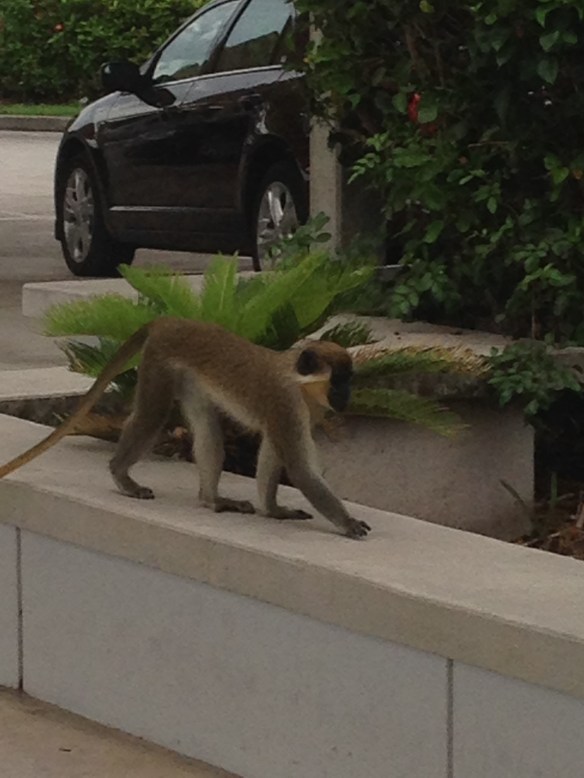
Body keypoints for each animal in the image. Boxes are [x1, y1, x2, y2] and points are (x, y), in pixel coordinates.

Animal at [0, 318, 371, 539]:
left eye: (349, 380)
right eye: (339, 381)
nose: (346, 396)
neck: (297, 381)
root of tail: (169, 320)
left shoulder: (304, 408)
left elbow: (272, 449)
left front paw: (273, 510)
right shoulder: (285, 402)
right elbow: (299, 467)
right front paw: (347, 522)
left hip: (186, 374)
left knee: (206, 427)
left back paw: (211, 499)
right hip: (159, 361)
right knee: (152, 415)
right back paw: (120, 474)